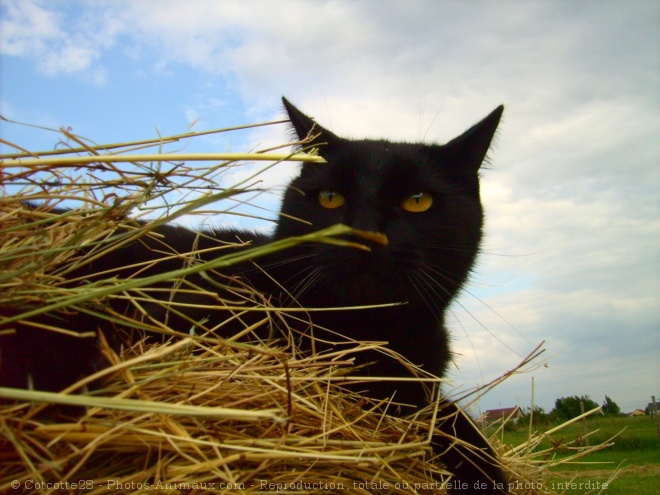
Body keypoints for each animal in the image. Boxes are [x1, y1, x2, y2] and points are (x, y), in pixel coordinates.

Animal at [0, 97, 508, 492]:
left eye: (417, 201)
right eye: (329, 199)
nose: (361, 233)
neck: (367, 329)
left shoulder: (418, 391)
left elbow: (454, 422)